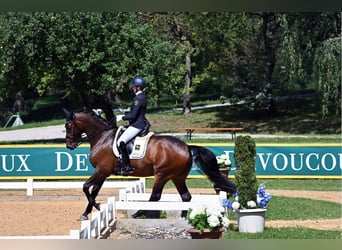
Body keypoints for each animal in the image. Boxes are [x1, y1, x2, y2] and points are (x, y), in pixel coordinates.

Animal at [62, 108, 236, 220]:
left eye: (68, 126)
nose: (69, 146)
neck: (102, 137)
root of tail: (186, 146)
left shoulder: (101, 170)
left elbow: (86, 188)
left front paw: (97, 208)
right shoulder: (103, 173)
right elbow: (94, 191)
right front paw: (87, 212)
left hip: (162, 174)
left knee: (155, 196)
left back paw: (139, 213)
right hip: (177, 177)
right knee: (186, 196)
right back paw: (183, 217)